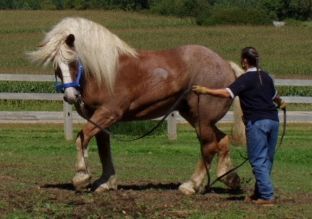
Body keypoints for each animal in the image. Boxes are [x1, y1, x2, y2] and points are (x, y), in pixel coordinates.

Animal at [29, 17, 243, 195]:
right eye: (56, 66)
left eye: (73, 62)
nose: (70, 96)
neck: (103, 73)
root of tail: (225, 64)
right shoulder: (99, 118)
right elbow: (103, 148)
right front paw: (106, 182)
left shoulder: (108, 113)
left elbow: (82, 137)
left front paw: (82, 177)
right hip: (195, 116)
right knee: (222, 141)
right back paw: (229, 178)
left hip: (203, 119)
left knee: (209, 146)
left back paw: (191, 185)